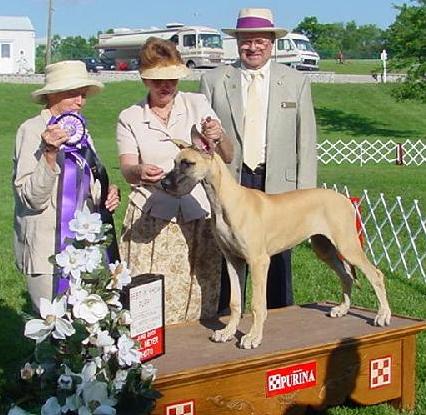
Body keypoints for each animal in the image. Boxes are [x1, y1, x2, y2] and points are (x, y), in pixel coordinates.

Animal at [161, 128, 392, 350]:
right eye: (174, 162)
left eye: (187, 163)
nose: (163, 183)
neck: (225, 201)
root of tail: (345, 199)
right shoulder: (233, 260)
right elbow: (235, 302)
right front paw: (227, 332)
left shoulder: (258, 261)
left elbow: (257, 305)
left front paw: (253, 337)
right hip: (324, 248)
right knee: (346, 275)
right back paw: (343, 309)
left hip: (347, 245)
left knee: (375, 274)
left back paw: (382, 315)